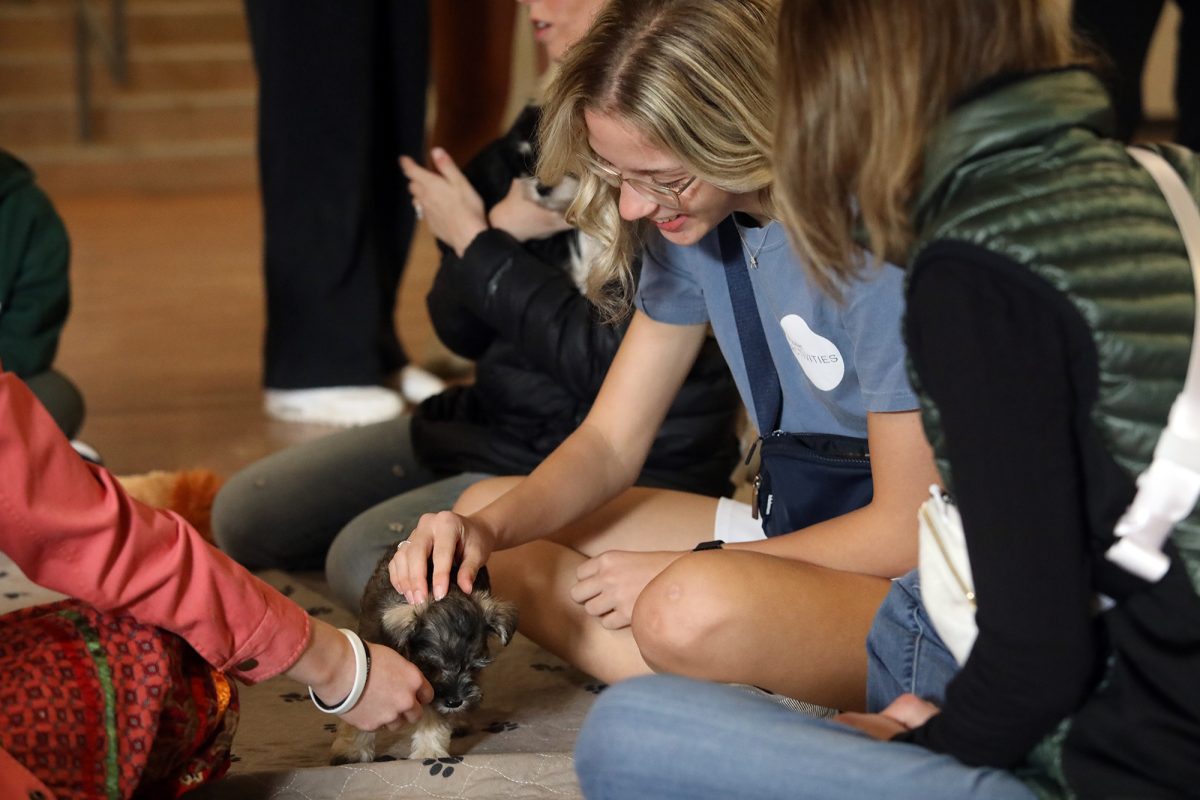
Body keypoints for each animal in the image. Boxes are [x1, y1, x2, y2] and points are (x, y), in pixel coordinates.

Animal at [331, 551, 518, 762]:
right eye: (431, 665)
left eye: (474, 667)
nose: (455, 702)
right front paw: (351, 750)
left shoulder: (431, 692)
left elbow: (433, 716)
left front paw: (430, 751)